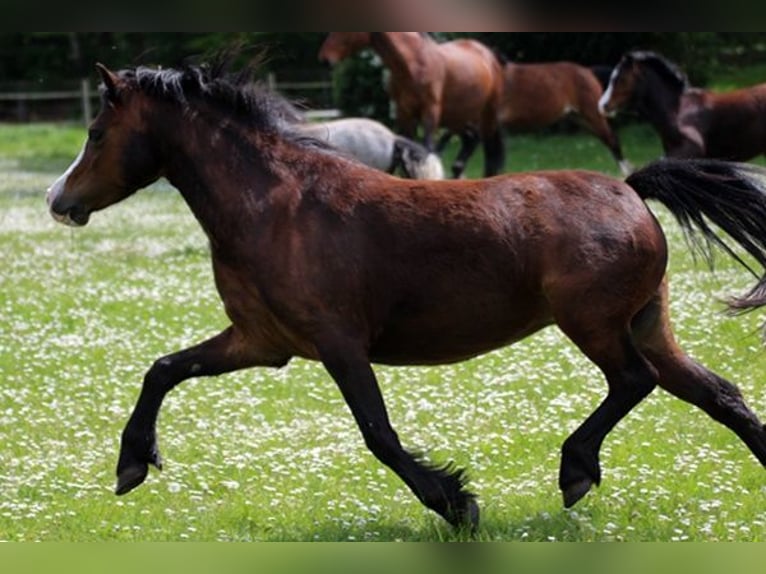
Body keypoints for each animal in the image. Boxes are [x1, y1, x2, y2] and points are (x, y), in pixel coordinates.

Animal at [320, 32, 508, 178]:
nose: (324, 59)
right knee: (471, 138)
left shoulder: (430, 113)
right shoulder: (405, 114)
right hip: (457, 117)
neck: (413, 64)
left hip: (486, 115)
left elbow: (427, 148)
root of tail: (489, 55)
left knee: (490, 152)